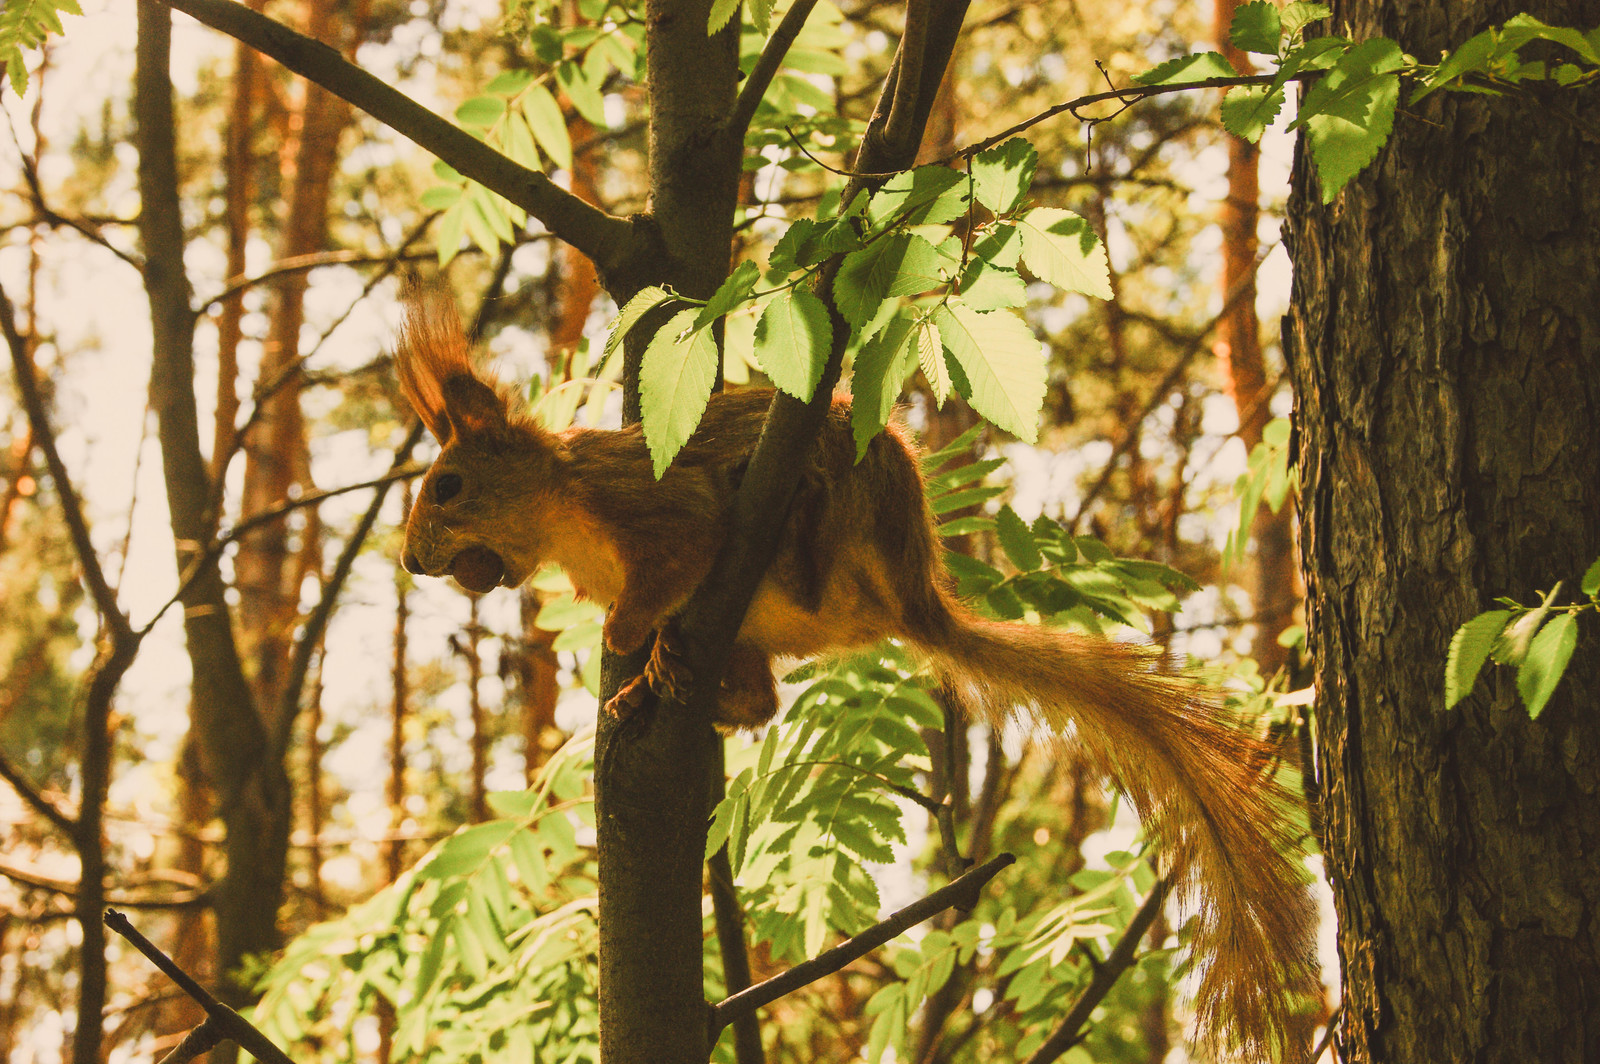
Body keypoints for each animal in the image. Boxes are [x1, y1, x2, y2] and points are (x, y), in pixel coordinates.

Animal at [396, 286, 1312, 1056]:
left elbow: (681, 548)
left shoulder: (647, 503)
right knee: (763, 698)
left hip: (849, 506)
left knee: (803, 566)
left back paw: (783, 524)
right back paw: (693, 686)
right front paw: (632, 673)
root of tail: (916, 598)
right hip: (765, 630)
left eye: (448, 486)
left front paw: (628, 637)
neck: (560, 507)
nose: (409, 561)